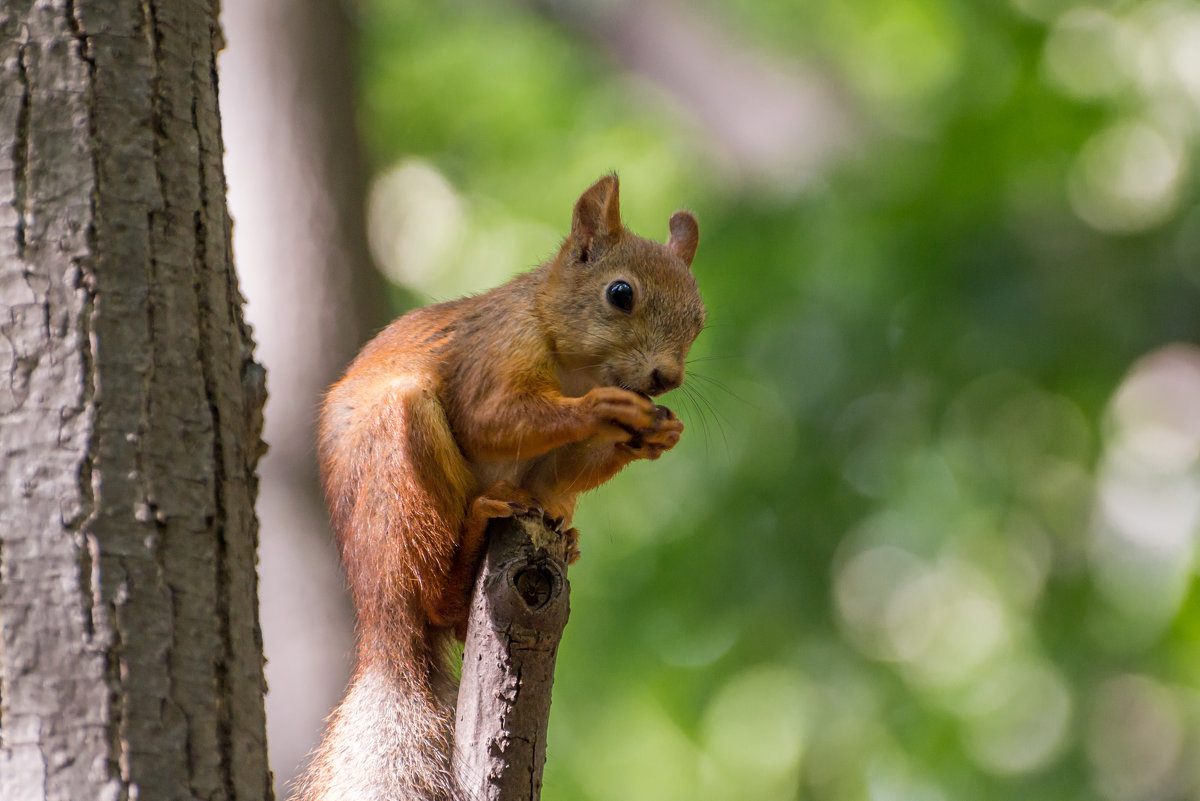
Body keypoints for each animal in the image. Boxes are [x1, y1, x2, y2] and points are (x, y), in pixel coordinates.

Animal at [291, 176, 700, 801]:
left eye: (699, 318)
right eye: (620, 293)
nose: (666, 378)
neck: (576, 368)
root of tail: (380, 619)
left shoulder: (555, 468)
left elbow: (564, 472)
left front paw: (658, 434)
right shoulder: (496, 352)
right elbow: (491, 419)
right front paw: (602, 409)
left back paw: (566, 538)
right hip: (397, 456)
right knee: (434, 598)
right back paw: (480, 525)